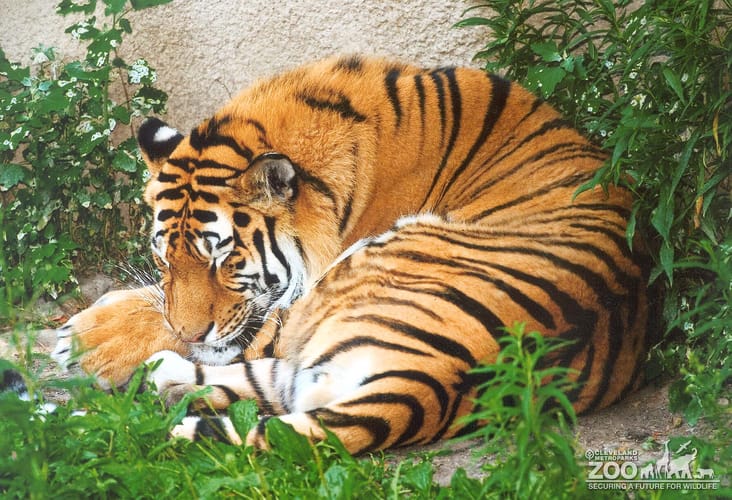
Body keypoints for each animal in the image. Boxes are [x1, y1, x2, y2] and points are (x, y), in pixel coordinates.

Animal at [52, 55, 655, 455]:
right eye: (165, 260)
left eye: (223, 260)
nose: (188, 332)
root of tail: (426, 383)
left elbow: (229, 331)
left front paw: (86, 341)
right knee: (267, 387)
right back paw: (162, 380)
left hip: (365, 269)